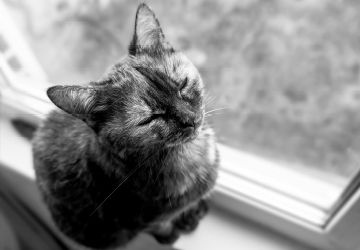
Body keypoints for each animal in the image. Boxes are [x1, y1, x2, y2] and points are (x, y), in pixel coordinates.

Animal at [32, 2, 218, 249]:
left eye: (182, 85)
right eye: (151, 118)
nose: (192, 120)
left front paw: (193, 214)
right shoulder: (142, 219)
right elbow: (162, 224)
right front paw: (172, 233)